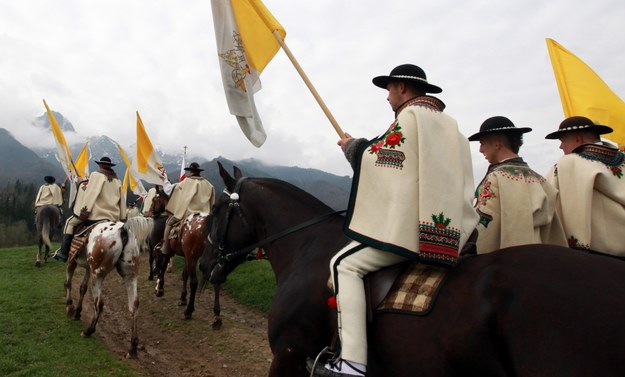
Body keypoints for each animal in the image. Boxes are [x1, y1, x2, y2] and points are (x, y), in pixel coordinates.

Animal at [149, 187, 222, 324]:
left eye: (154, 199)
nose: (150, 212)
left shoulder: (170, 252)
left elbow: (163, 268)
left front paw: (159, 289)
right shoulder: (186, 257)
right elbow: (184, 275)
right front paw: (183, 298)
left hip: (192, 257)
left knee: (194, 282)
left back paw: (189, 311)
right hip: (208, 259)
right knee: (216, 283)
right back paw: (217, 315)